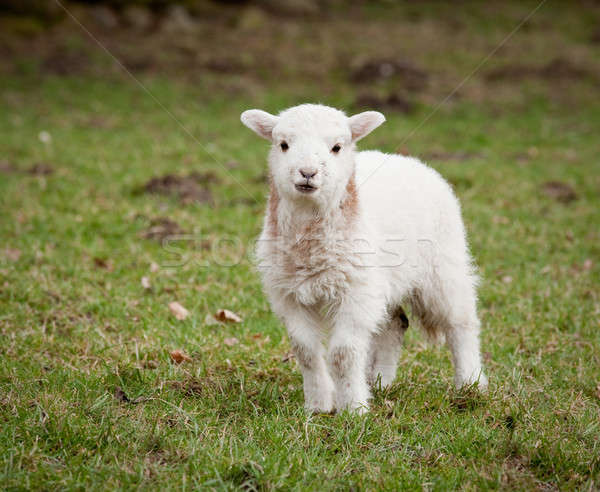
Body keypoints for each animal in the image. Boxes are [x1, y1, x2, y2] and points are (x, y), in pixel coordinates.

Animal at [240, 104, 488, 416]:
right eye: (283, 145)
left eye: (337, 147)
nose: (307, 173)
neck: (310, 244)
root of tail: (406, 160)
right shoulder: (289, 294)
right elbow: (306, 351)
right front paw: (318, 405)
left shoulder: (356, 293)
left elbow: (343, 353)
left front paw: (353, 409)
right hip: (385, 280)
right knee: (395, 324)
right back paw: (379, 382)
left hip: (443, 265)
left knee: (461, 322)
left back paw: (471, 384)